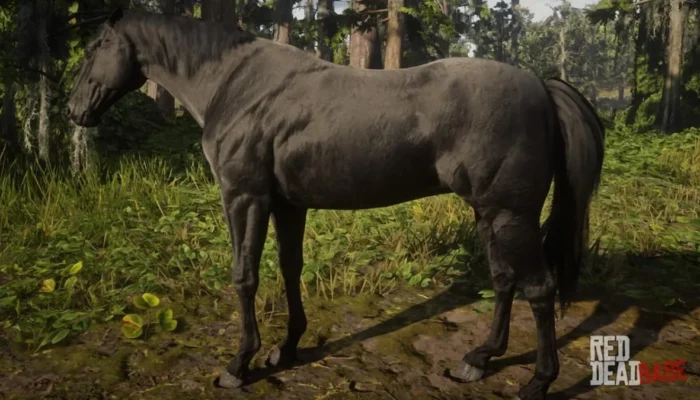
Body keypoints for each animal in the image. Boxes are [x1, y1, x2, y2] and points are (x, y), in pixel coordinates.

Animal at [67, 8, 605, 399]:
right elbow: (289, 268)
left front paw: (239, 363)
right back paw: (478, 359)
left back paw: (538, 381)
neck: (236, 85)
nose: (74, 110)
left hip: (511, 215)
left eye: (95, 48)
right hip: (489, 214)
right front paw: (285, 349)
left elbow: (245, 276)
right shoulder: (287, 205)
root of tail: (539, 85)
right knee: (504, 280)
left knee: (538, 289)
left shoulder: (244, 196)